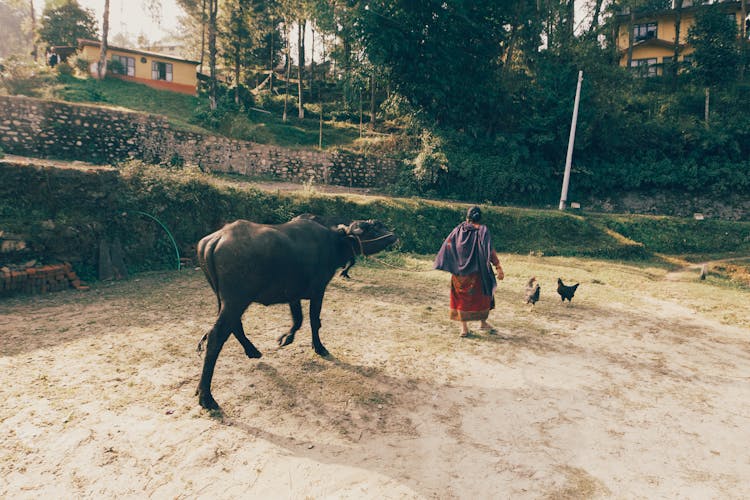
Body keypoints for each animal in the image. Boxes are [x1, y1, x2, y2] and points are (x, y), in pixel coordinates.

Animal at [195, 219, 400, 410]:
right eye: (373, 228)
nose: (393, 236)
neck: (333, 243)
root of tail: (215, 239)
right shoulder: (318, 291)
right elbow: (314, 321)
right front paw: (319, 347)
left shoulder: (293, 294)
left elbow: (298, 319)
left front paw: (287, 337)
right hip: (236, 300)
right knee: (216, 336)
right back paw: (206, 396)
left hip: (223, 299)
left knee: (234, 326)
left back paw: (252, 351)